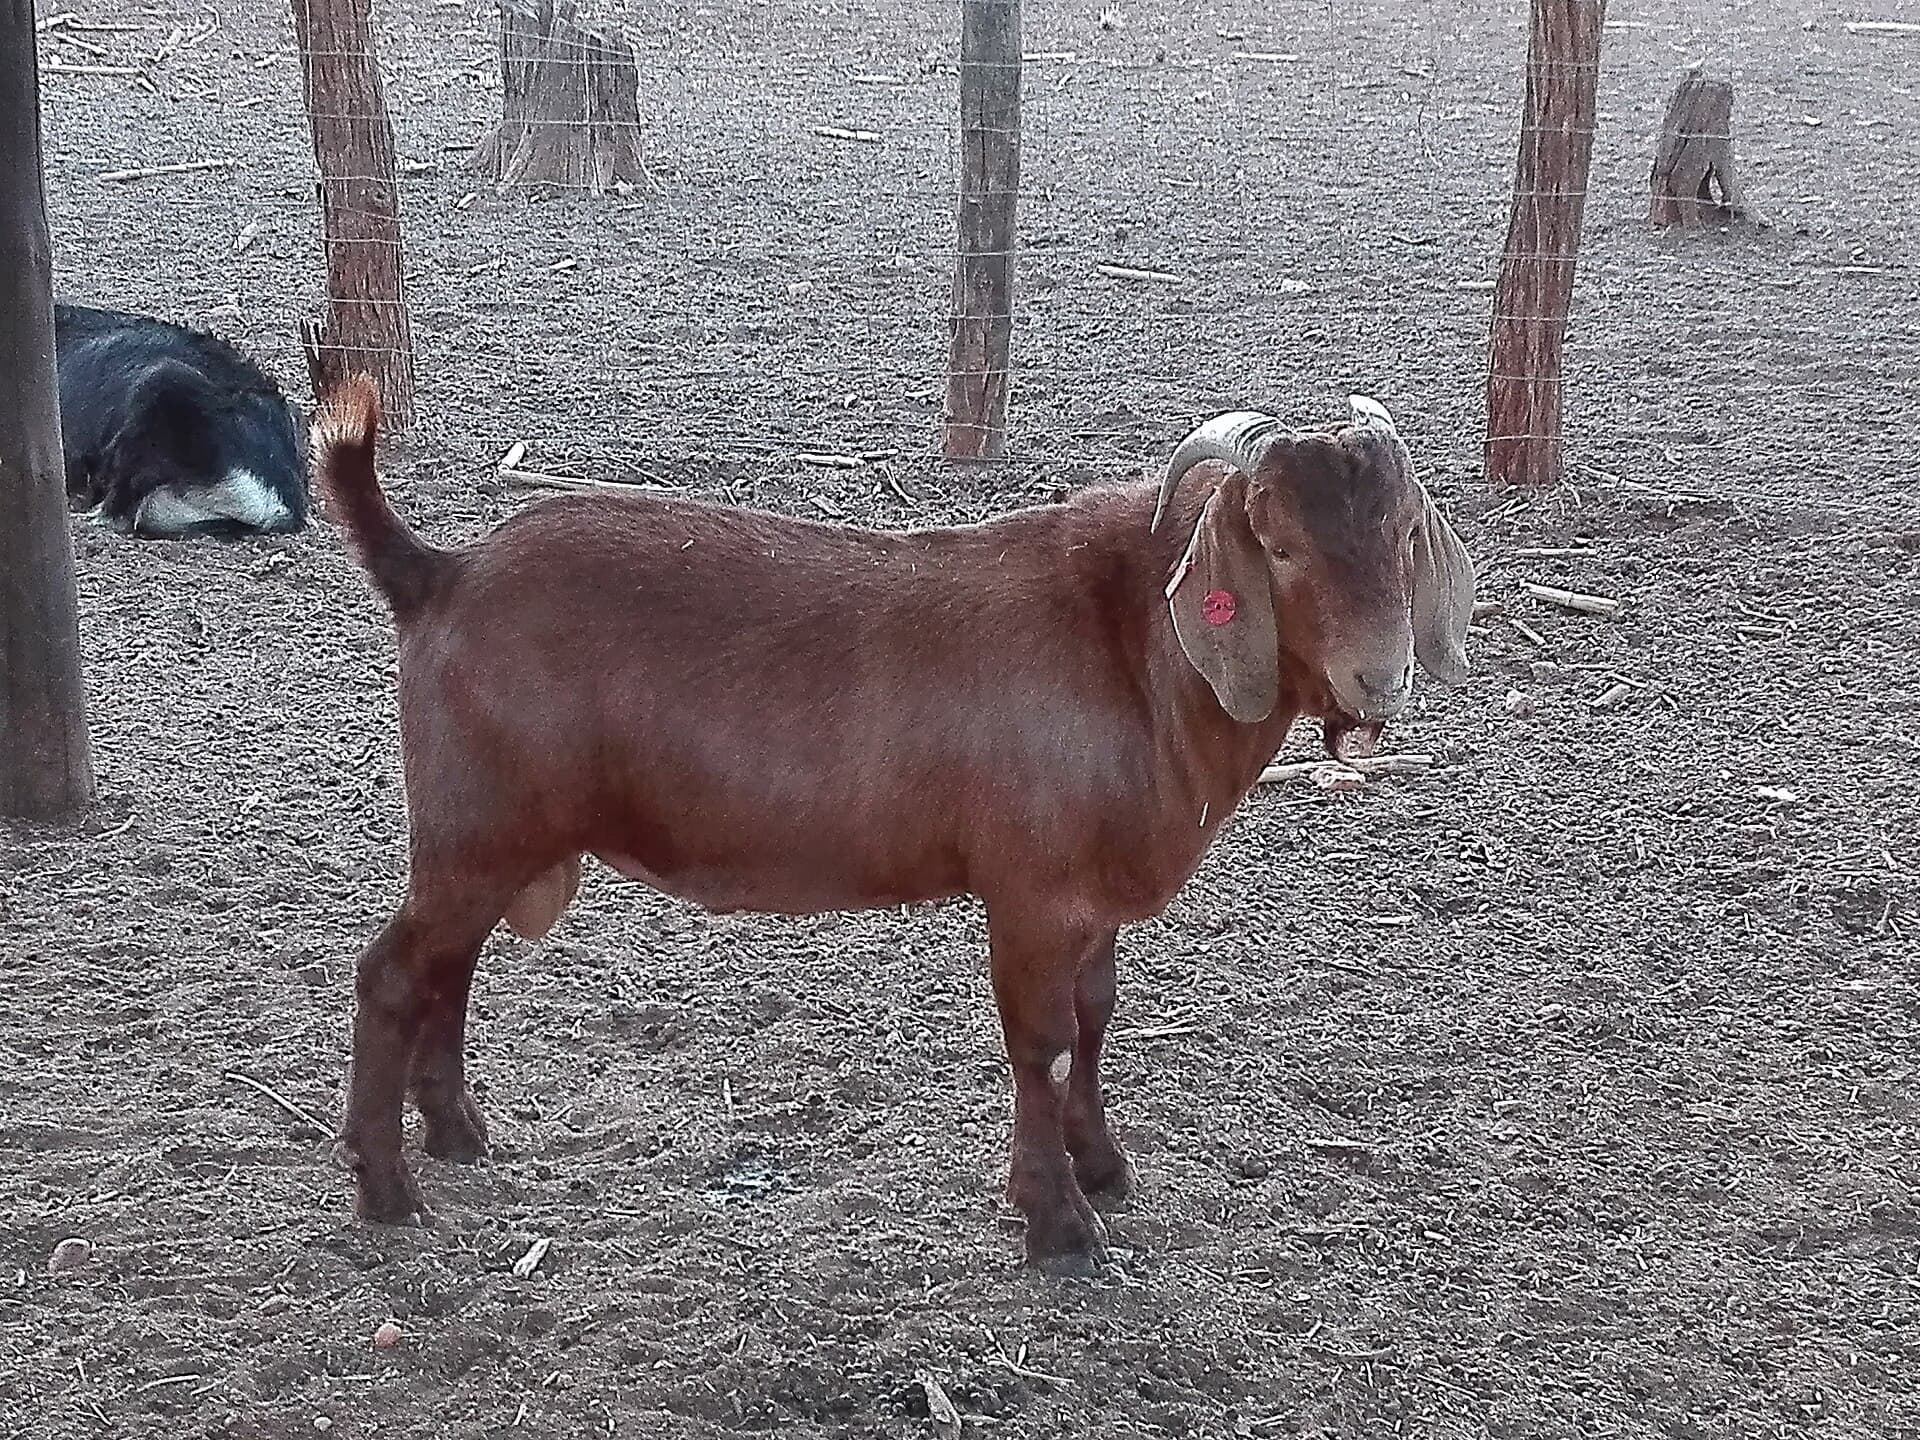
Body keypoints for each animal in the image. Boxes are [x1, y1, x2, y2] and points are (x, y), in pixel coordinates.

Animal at [312, 375, 1476, 1269]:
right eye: (1273, 545)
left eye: (1402, 531)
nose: (1379, 678)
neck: (1136, 649)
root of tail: (441, 575)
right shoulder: (1030, 891)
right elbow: (1042, 1040)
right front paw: (1058, 1223)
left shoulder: (1094, 897)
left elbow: (1097, 1015)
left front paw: (1103, 1166)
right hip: (478, 826)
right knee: (394, 972)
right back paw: (388, 1188)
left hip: (498, 837)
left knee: (450, 965)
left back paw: (458, 1134)